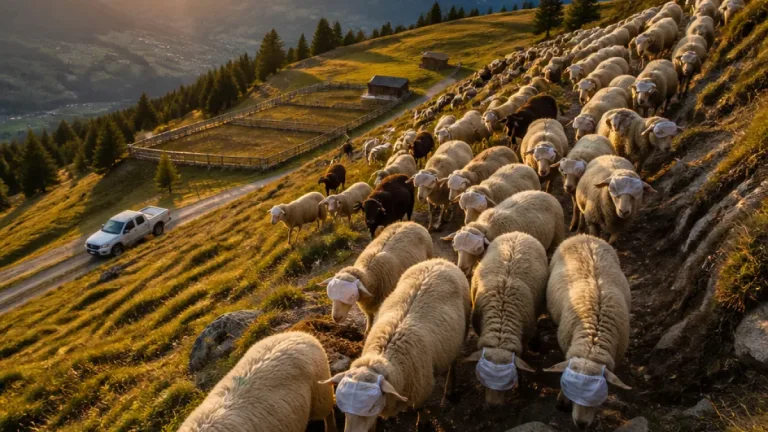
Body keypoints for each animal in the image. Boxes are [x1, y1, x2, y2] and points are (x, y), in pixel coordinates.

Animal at [323, 258, 471, 432]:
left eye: (372, 407)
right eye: (344, 410)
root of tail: (439, 260)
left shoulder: (422, 388)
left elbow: (419, 408)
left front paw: (422, 423)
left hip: (461, 332)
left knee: (453, 362)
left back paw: (449, 388)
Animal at [544, 235, 632, 429]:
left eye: (598, 393)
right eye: (570, 386)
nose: (581, 424)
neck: (592, 344)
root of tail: (584, 236)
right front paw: (563, 400)